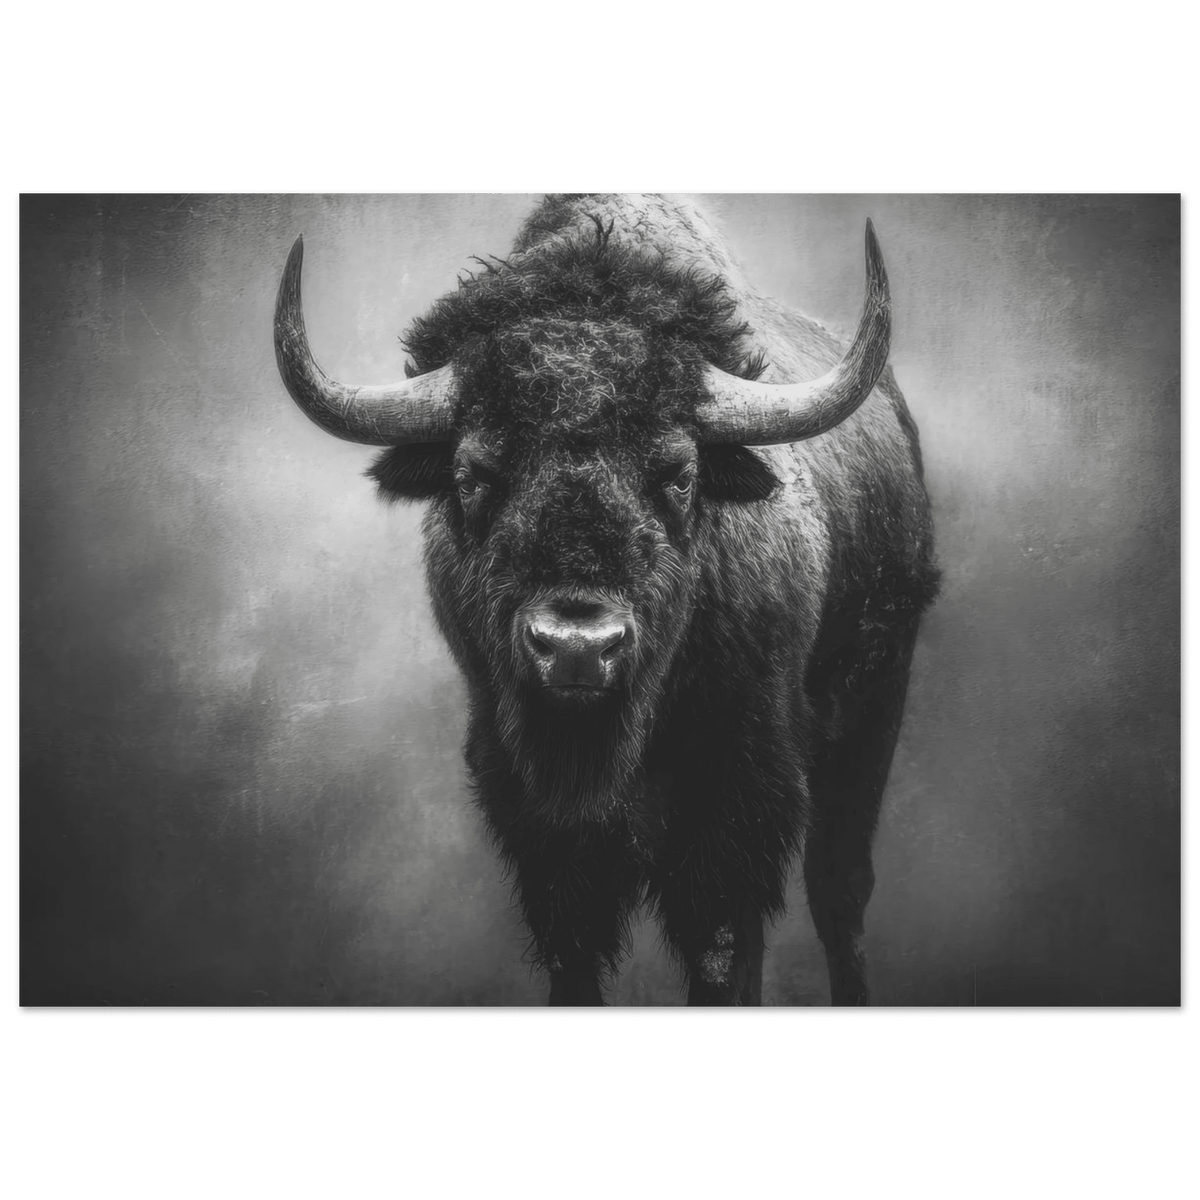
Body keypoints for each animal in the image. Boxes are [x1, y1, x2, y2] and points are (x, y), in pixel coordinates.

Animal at [273, 193, 938, 1006]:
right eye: (473, 474)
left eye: (679, 473)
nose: (577, 649)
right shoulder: (536, 820)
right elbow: (575, 950)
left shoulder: (738, 799)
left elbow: (723, 948)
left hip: (871, 711)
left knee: (839, 892)